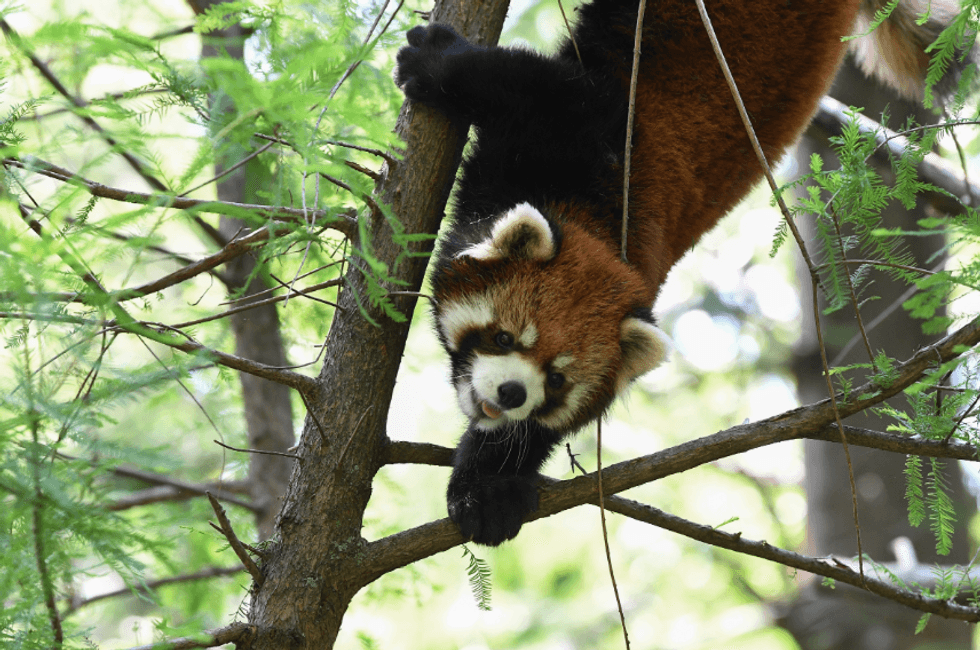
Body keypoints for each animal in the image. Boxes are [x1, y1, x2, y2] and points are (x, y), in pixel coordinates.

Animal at [395, 0, 968, 545]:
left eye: (556, 380)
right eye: (504, 336)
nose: (513, 393)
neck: (594, 213)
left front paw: (492, 485)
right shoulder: (580, 126)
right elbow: (515, 79)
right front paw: (435, 57)